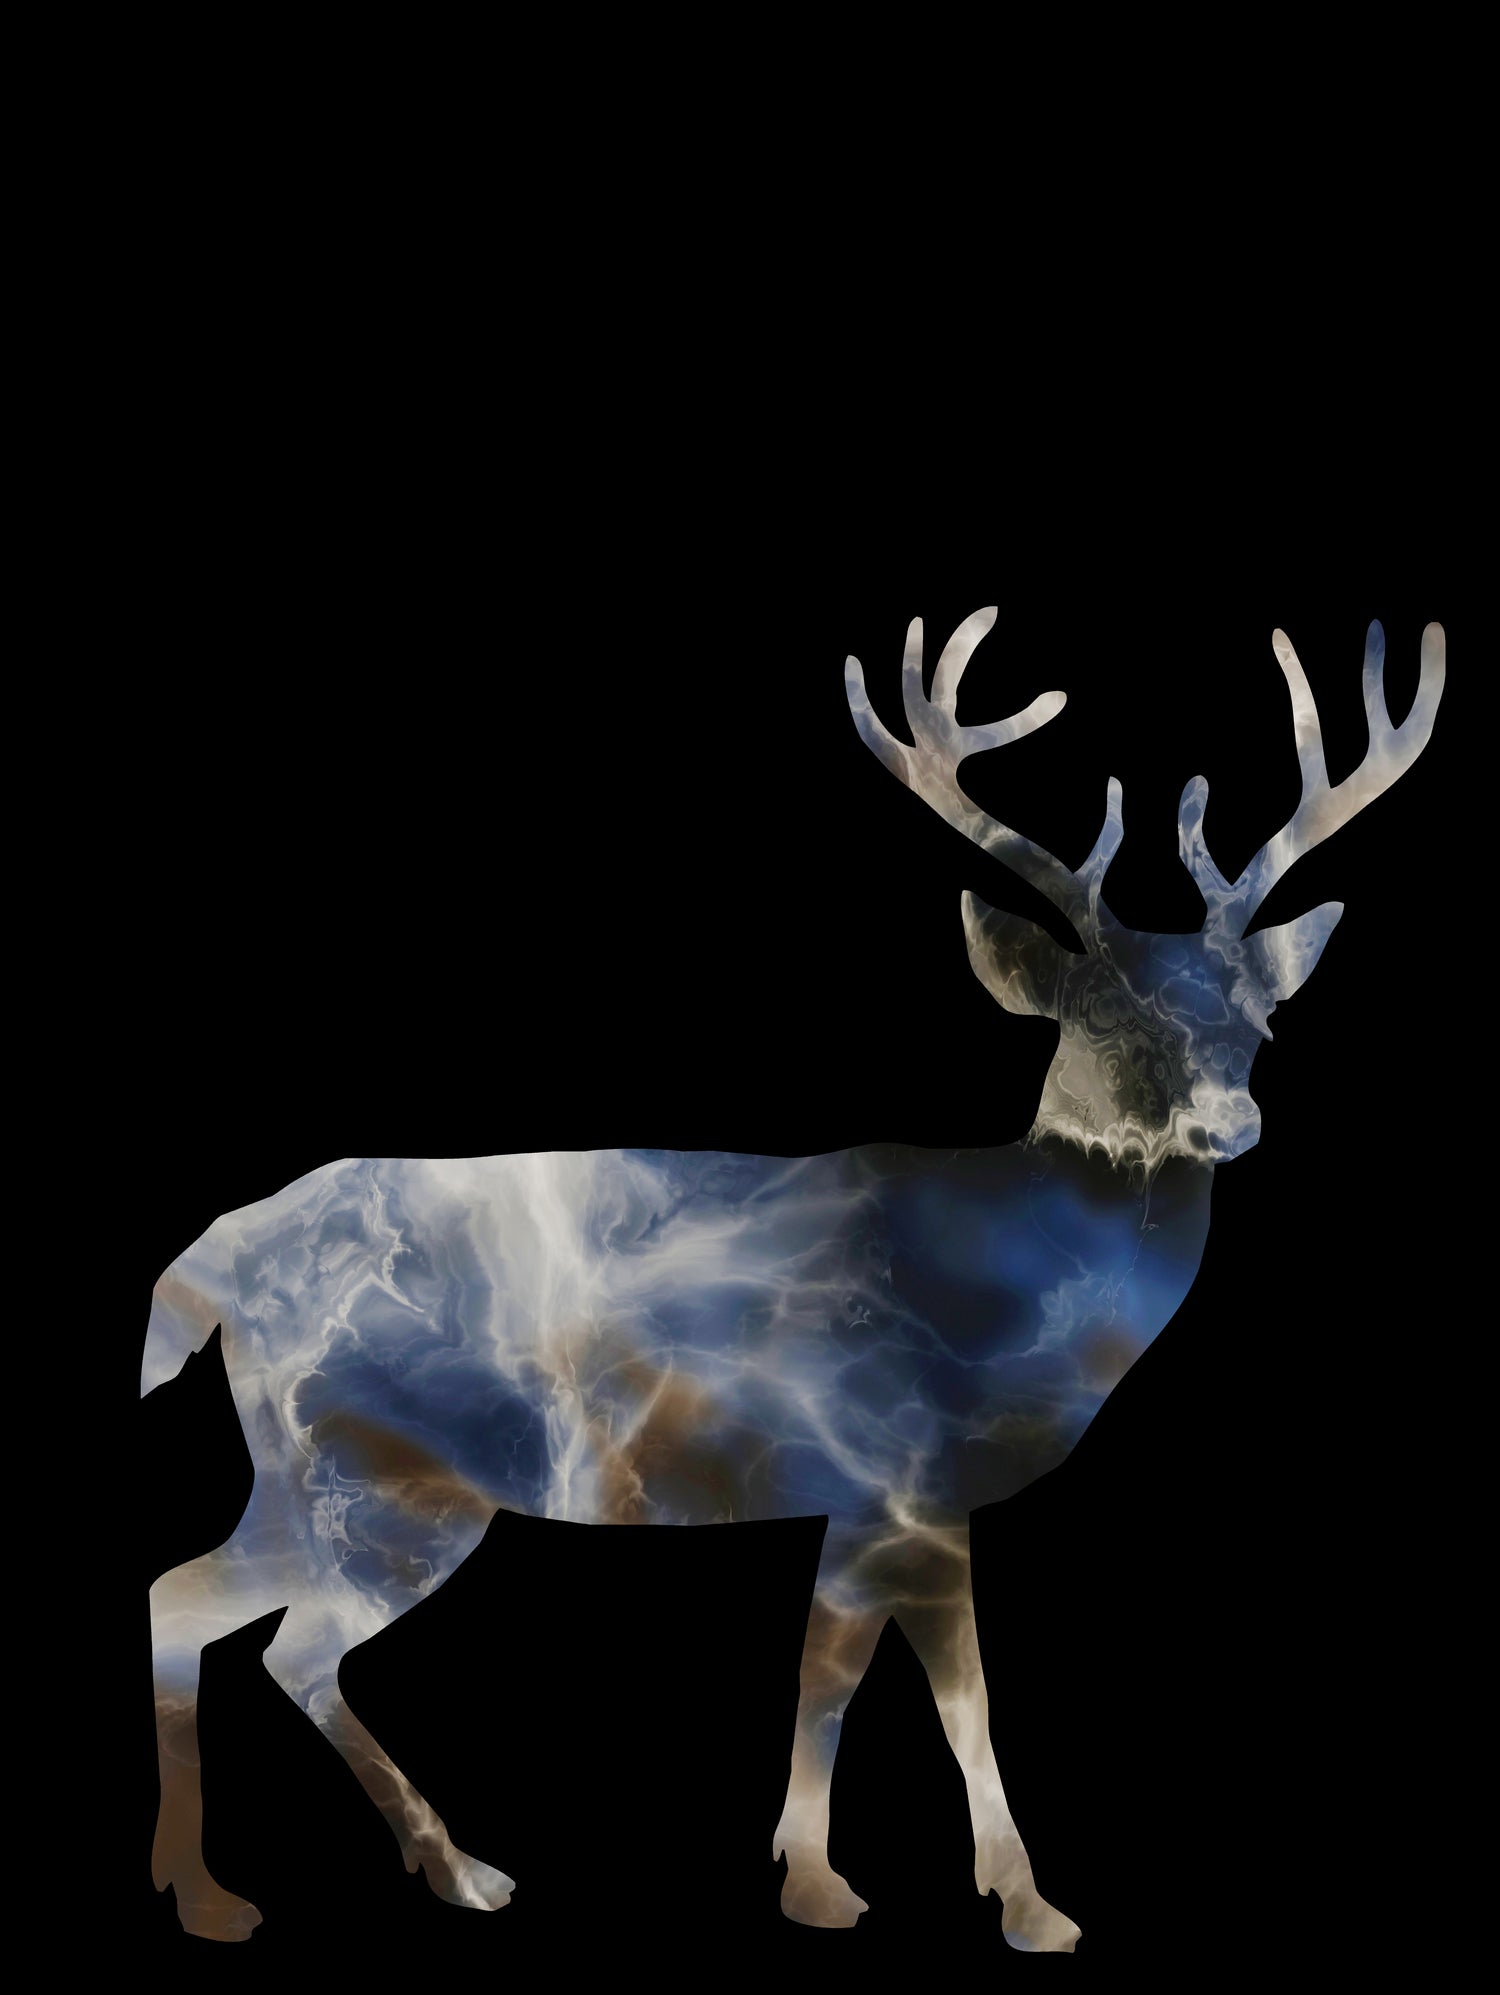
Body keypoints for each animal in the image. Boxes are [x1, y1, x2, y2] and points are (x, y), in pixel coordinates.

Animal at [143, 609, 1445, 1949]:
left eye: (1261, 1026)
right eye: (1100, 1019)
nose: (1232, 1122)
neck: (1007, 1287)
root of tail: (213, 1264)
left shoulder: (864, 1497)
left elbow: (832, 1675)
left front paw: (824, 1876)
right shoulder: (905, 1472)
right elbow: (937, 1694)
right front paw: (1008, 1901)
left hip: (310, 1476)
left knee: (201, 1605)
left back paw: (332, 1876)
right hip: (385, 1478)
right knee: (265, 1635)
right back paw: (336, 1881)